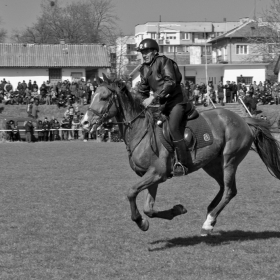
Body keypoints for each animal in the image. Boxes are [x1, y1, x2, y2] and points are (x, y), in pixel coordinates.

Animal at [81, 75, 280, 236]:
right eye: (93, 95)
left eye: (104, 97)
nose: (84, 123)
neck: (140, 131)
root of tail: (243, 120)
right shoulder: (152, 177)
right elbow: (149, 209)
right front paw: (174, 211)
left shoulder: (157, 173)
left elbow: (131, 192)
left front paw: (140, 221)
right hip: (212, 164)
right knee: (224, 188)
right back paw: (210, 213)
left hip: (229, 160)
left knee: (230, 191)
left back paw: (209, 222)